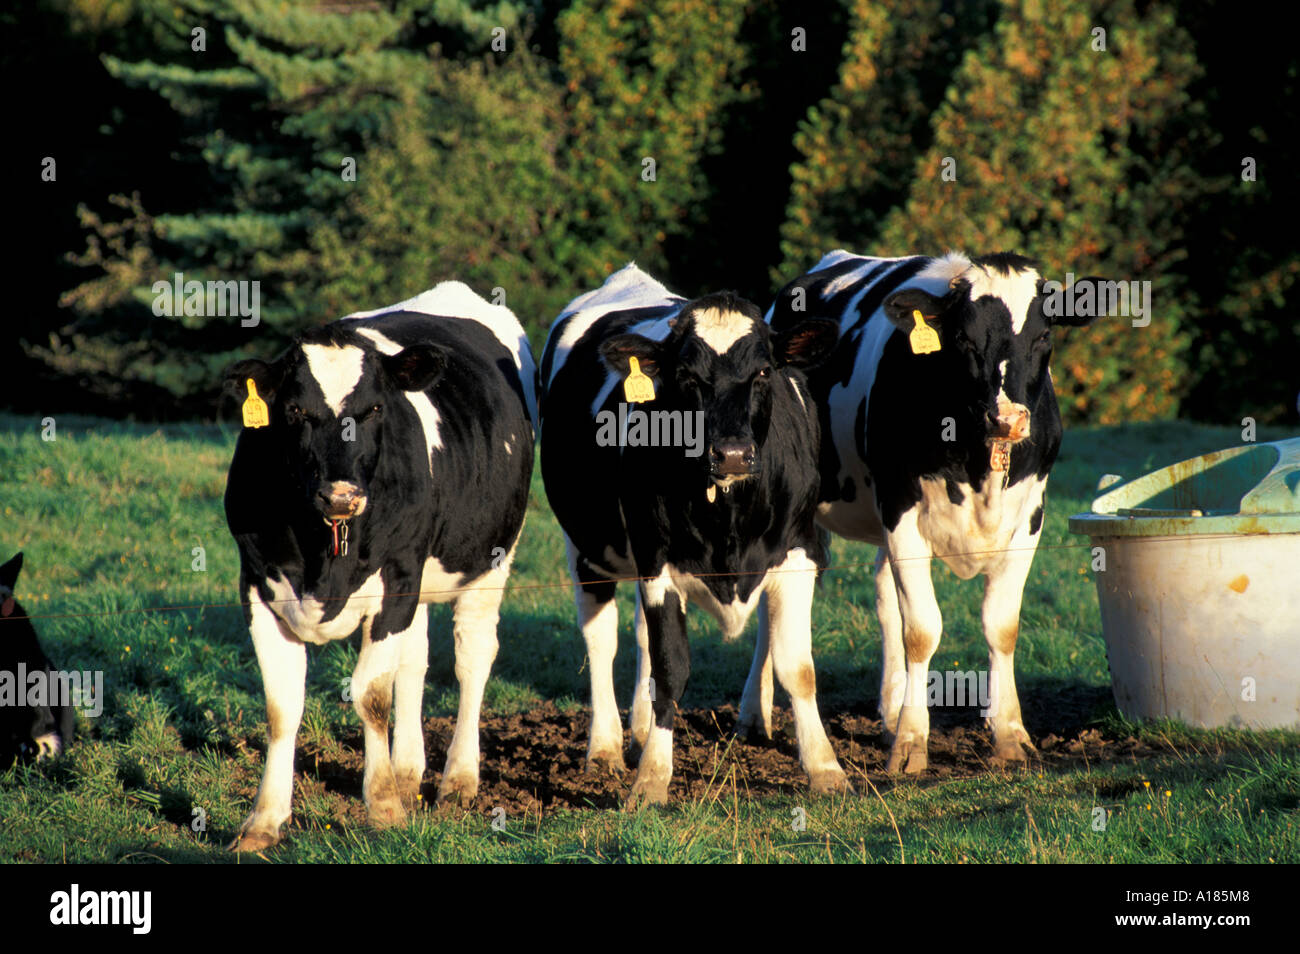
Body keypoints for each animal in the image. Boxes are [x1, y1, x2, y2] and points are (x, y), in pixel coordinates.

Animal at [222, 282, 536, 850]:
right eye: (294, 411)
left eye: (372, 409)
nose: (341, 495)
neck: (322, 555)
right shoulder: (256, 583)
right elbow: (282, 707)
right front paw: (262, 822)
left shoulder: (396, 576)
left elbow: (370, 694)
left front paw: (385, 808)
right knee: (414, 662)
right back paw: (407, 770)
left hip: (492, 559)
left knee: (472, 658)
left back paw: (458, 780)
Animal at [539, 264, 848, 806]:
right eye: (686, 376)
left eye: (763, 372)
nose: (732, 454)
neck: (728, 518)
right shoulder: (656, 562)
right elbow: (671, 667)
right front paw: (651, 778)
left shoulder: (799, 551)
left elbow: (798, 667)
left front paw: (825, 768)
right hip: (585, 547)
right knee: (601, 641)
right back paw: (605, 748)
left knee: (640, 636)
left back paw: (641, 728)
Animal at [746, 250, 1099, 774]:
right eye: (964, 340)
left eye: (1043, 336)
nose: (1007, 419)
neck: (977, 462)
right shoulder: (900, 509)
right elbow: (921, 630)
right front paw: (912, 744)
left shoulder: (1031, 515)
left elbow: (1001, 626)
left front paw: (1010, 736)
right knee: (772, 613)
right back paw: (754, 716)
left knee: (883, 599)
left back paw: (891, 711)